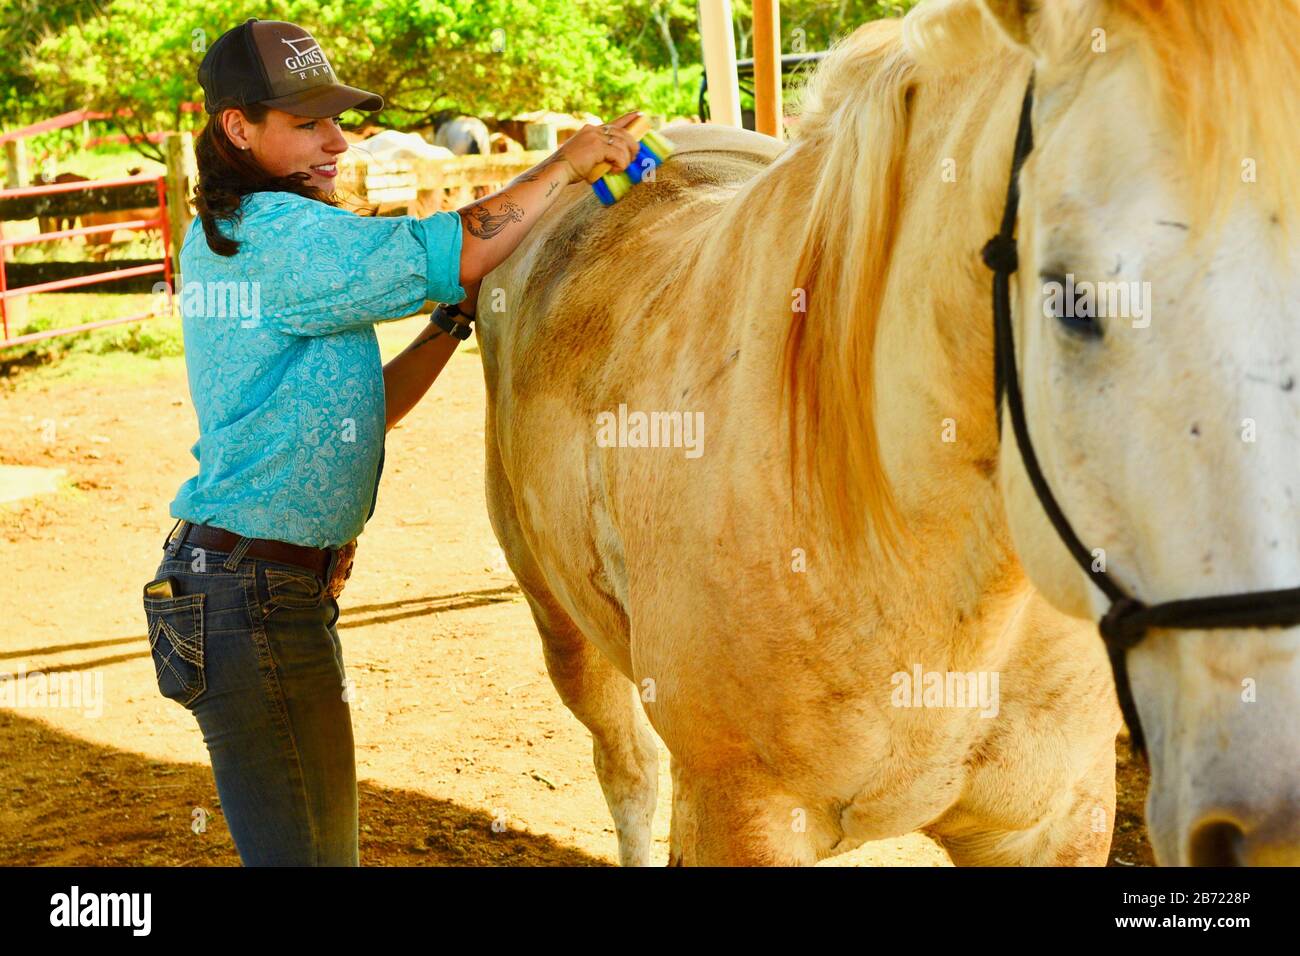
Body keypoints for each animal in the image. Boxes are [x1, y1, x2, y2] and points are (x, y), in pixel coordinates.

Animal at [477, 0, 1300, 866]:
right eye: (1069, 299)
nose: (1270, 824)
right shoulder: (741, 818)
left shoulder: (1056, 818)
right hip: (560, 624)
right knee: (627, 770)